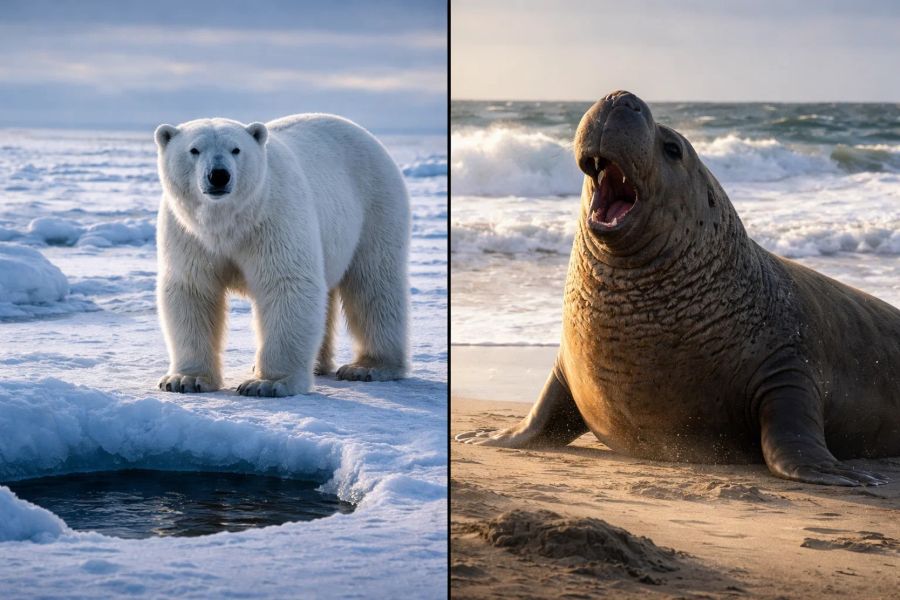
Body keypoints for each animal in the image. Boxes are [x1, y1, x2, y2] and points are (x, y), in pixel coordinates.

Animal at [153, 114, 409, 397]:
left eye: (236, 149)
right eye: (194, 150)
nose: (219, 175)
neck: (229, 222)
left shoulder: (274, 217)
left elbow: (286, 284)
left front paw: (266, 383)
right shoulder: (188, 233)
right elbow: (192, 290)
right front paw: (184, 380)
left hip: (375, 207)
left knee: (373, 285)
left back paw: (368, 367)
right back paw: (319, 364)